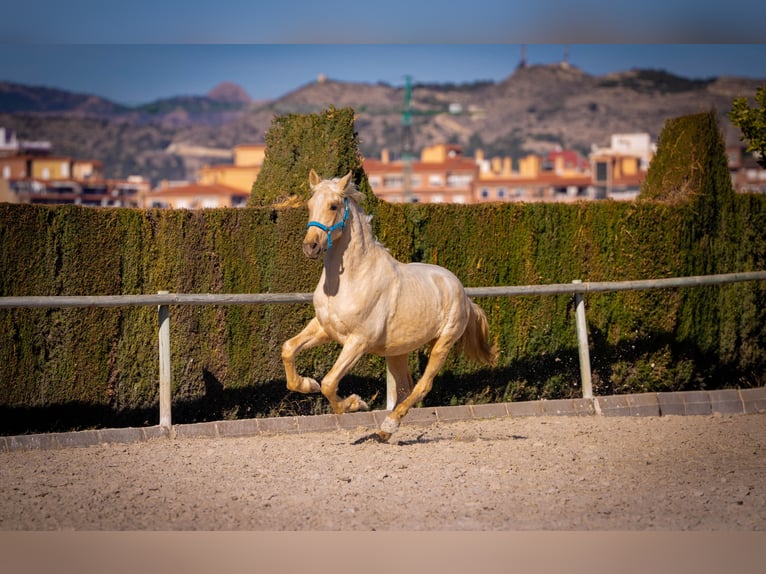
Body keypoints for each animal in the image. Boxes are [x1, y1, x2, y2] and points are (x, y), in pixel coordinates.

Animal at [282, 169, 498, 444]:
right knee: (405, 387)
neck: (352, 279)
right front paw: (307, 384)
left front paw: (355, 404)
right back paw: (385, 431)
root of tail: (462, 292)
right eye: (310, 205)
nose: (310, 247)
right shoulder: (324, 328)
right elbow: (288, 349)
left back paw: (389, 424)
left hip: (443, 343)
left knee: (422, 386)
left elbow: (329, 382)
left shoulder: (358, 341)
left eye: (333, 205)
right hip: (397, 351)